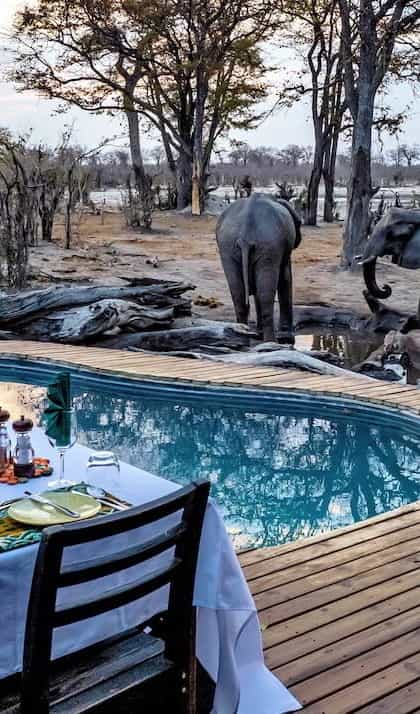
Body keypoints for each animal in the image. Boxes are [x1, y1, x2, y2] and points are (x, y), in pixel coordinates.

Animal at [216, 193, 302, 343]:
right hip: (268, 245)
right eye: (300, 224)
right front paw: (287, 338)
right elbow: (285, 278)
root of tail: (245, 236)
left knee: (238, 293)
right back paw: (271, 342)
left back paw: (241, 338)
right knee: (265, 294)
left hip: (227, 246)